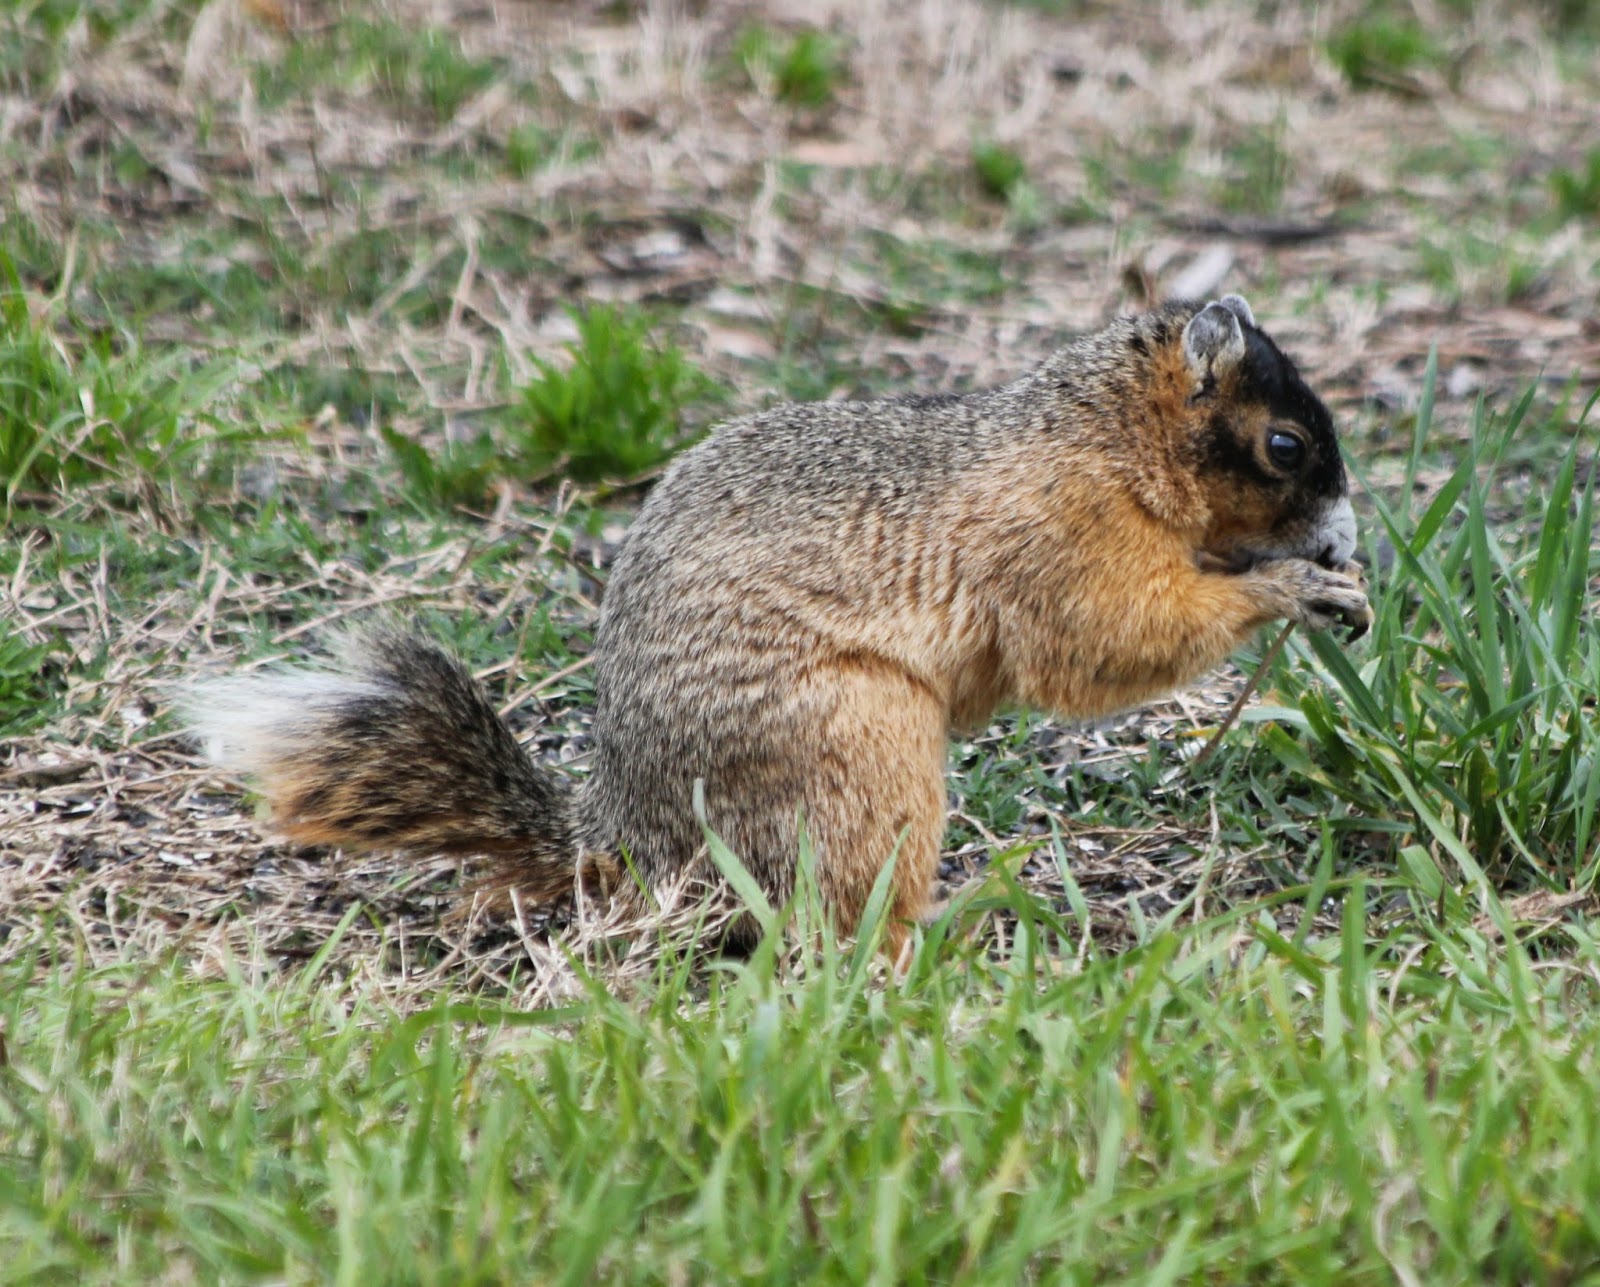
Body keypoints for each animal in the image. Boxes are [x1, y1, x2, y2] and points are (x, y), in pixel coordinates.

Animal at [187, 295, 1372, 957]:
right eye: (1282, 445)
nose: (1346, 536)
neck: (1103, 437)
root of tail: (627, 838)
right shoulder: (1058, 532)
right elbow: (1102, 641)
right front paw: (1292, 591)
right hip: (854, 748)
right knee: (824, 915)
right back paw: (934, 932)